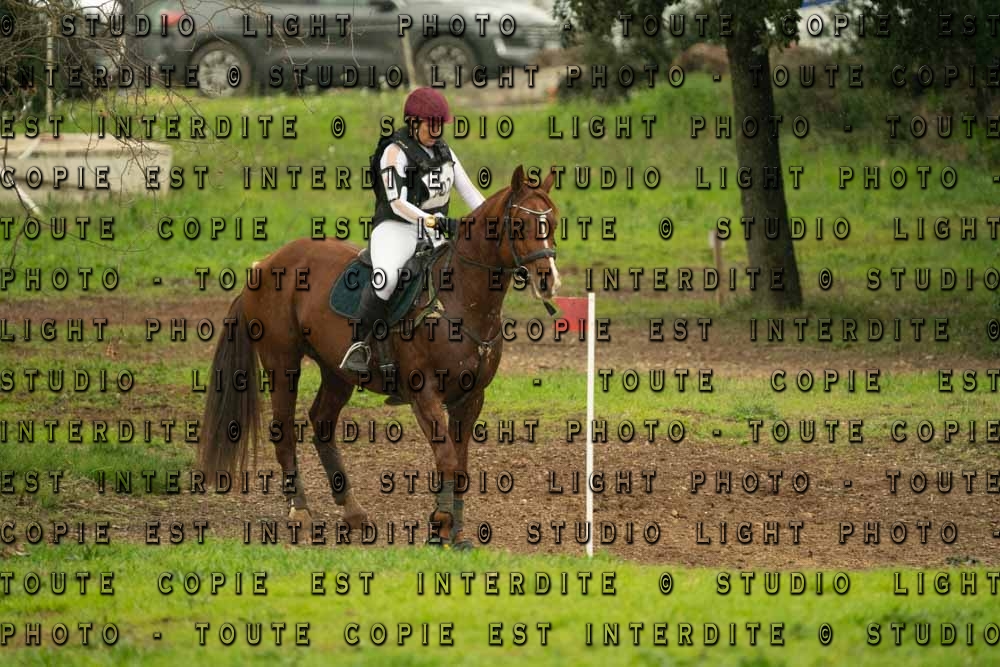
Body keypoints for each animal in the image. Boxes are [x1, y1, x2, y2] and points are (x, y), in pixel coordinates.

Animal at [197, 165, 561, 547]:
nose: (548, 280)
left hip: (336, 372)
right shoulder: (424, 394)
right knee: (283, 431)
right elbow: (447, 457)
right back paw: (300, 510)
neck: (461, 299)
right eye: (519, 223)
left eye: (552, 221)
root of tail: (264, 264)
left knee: (322, 424)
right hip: (282, 363)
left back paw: (352, 510)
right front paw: (440, 523)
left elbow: (460, 465)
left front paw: (456, 532)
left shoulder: (471, 397)